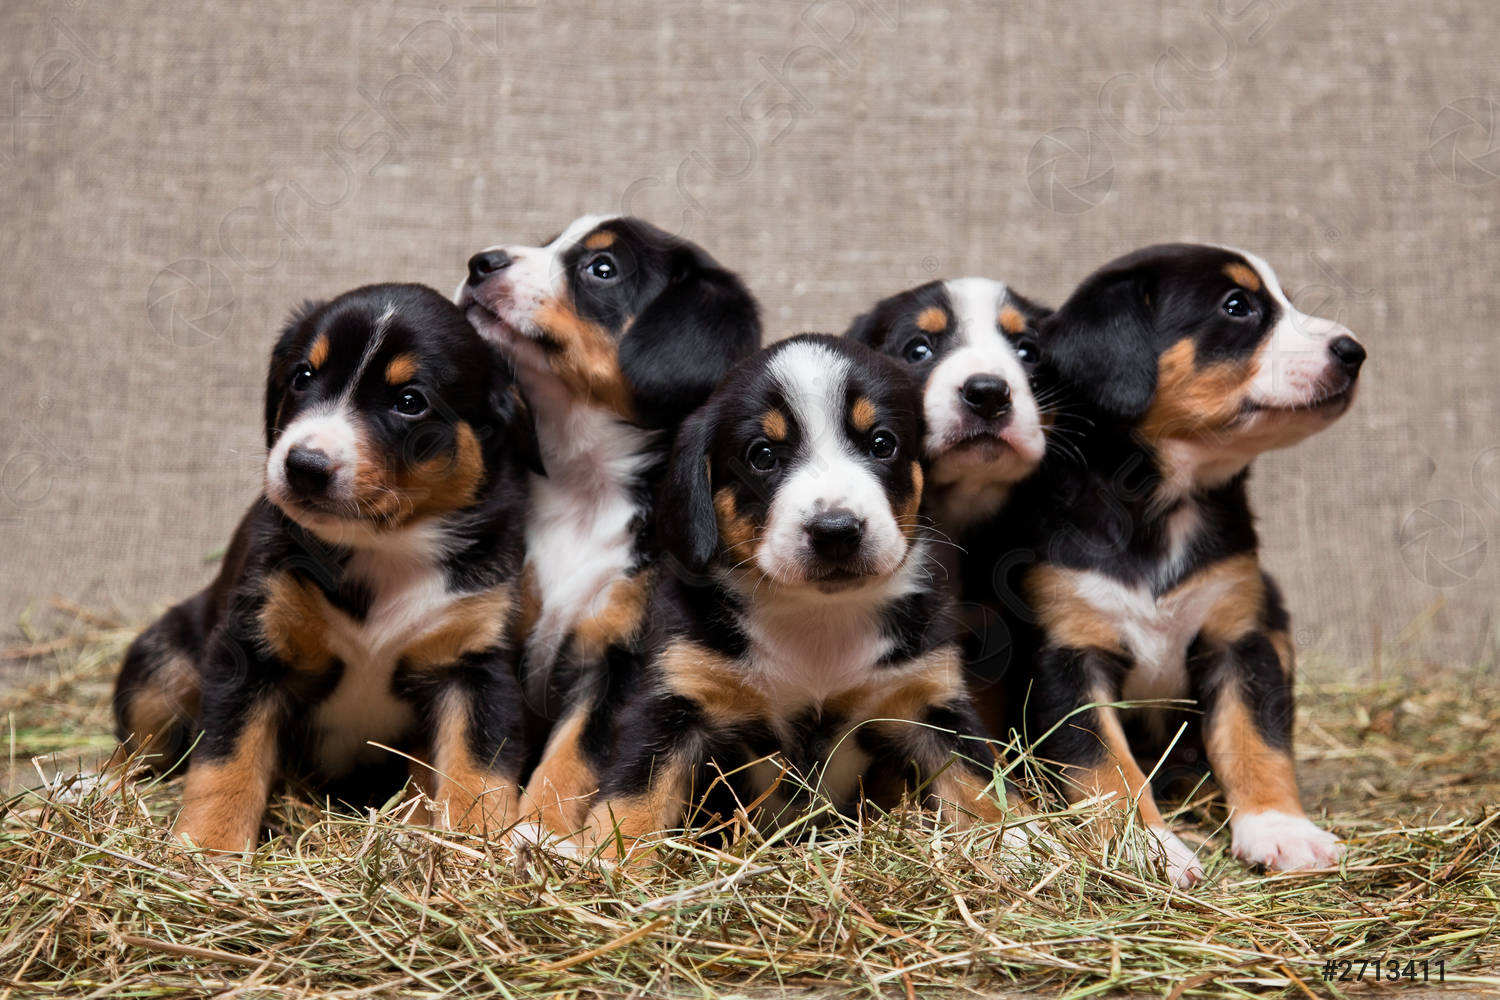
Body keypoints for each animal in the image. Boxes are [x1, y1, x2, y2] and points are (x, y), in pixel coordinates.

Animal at [114, 283, 543, 851]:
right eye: (303, 376)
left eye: (410, 402)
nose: (305, 466)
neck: (384, 549)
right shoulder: (252, 647)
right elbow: (226, 760)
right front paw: (207, 849)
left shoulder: (475, 661)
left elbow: (477, 772)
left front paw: (472, 849)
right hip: (163, 664)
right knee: (137, 752)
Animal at [453, 217, 762, 827]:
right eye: (547, 243)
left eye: (603, 268)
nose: (480, 262)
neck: (584, 488)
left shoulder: (622, 658)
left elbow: (572, 756)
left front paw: (541, 830)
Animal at [573, 335, 1020, 851]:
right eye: (763, 455)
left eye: (882, 444)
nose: (836, 530)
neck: (818, 617)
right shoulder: (675, 700)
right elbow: (632, 798)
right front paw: (602, 858)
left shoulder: (927, 700)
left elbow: (983, 787)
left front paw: (1019, 844)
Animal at [990, 245, 1368, 887]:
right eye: (1237, 306)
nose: (1353, 350)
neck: (1163, 507)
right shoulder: (1068, 656)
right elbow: (1107, 768)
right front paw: (1147, 848)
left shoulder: (1239, 636)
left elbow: (1255, 740)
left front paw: (1282, 830)